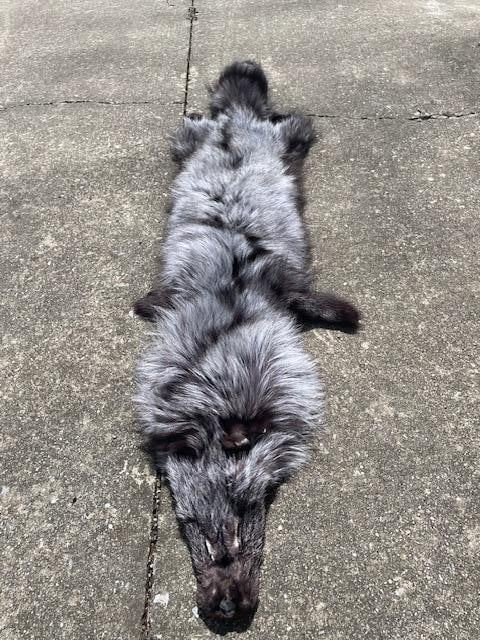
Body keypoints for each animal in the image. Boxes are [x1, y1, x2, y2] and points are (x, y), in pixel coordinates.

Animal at [134, 61, 359, 625]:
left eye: (241, 523)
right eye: (190, 528)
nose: (224, 610)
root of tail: (236, 117)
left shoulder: (279, 288)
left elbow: (312, 300)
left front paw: (346, 315)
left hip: (289, 137)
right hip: (188, 139)